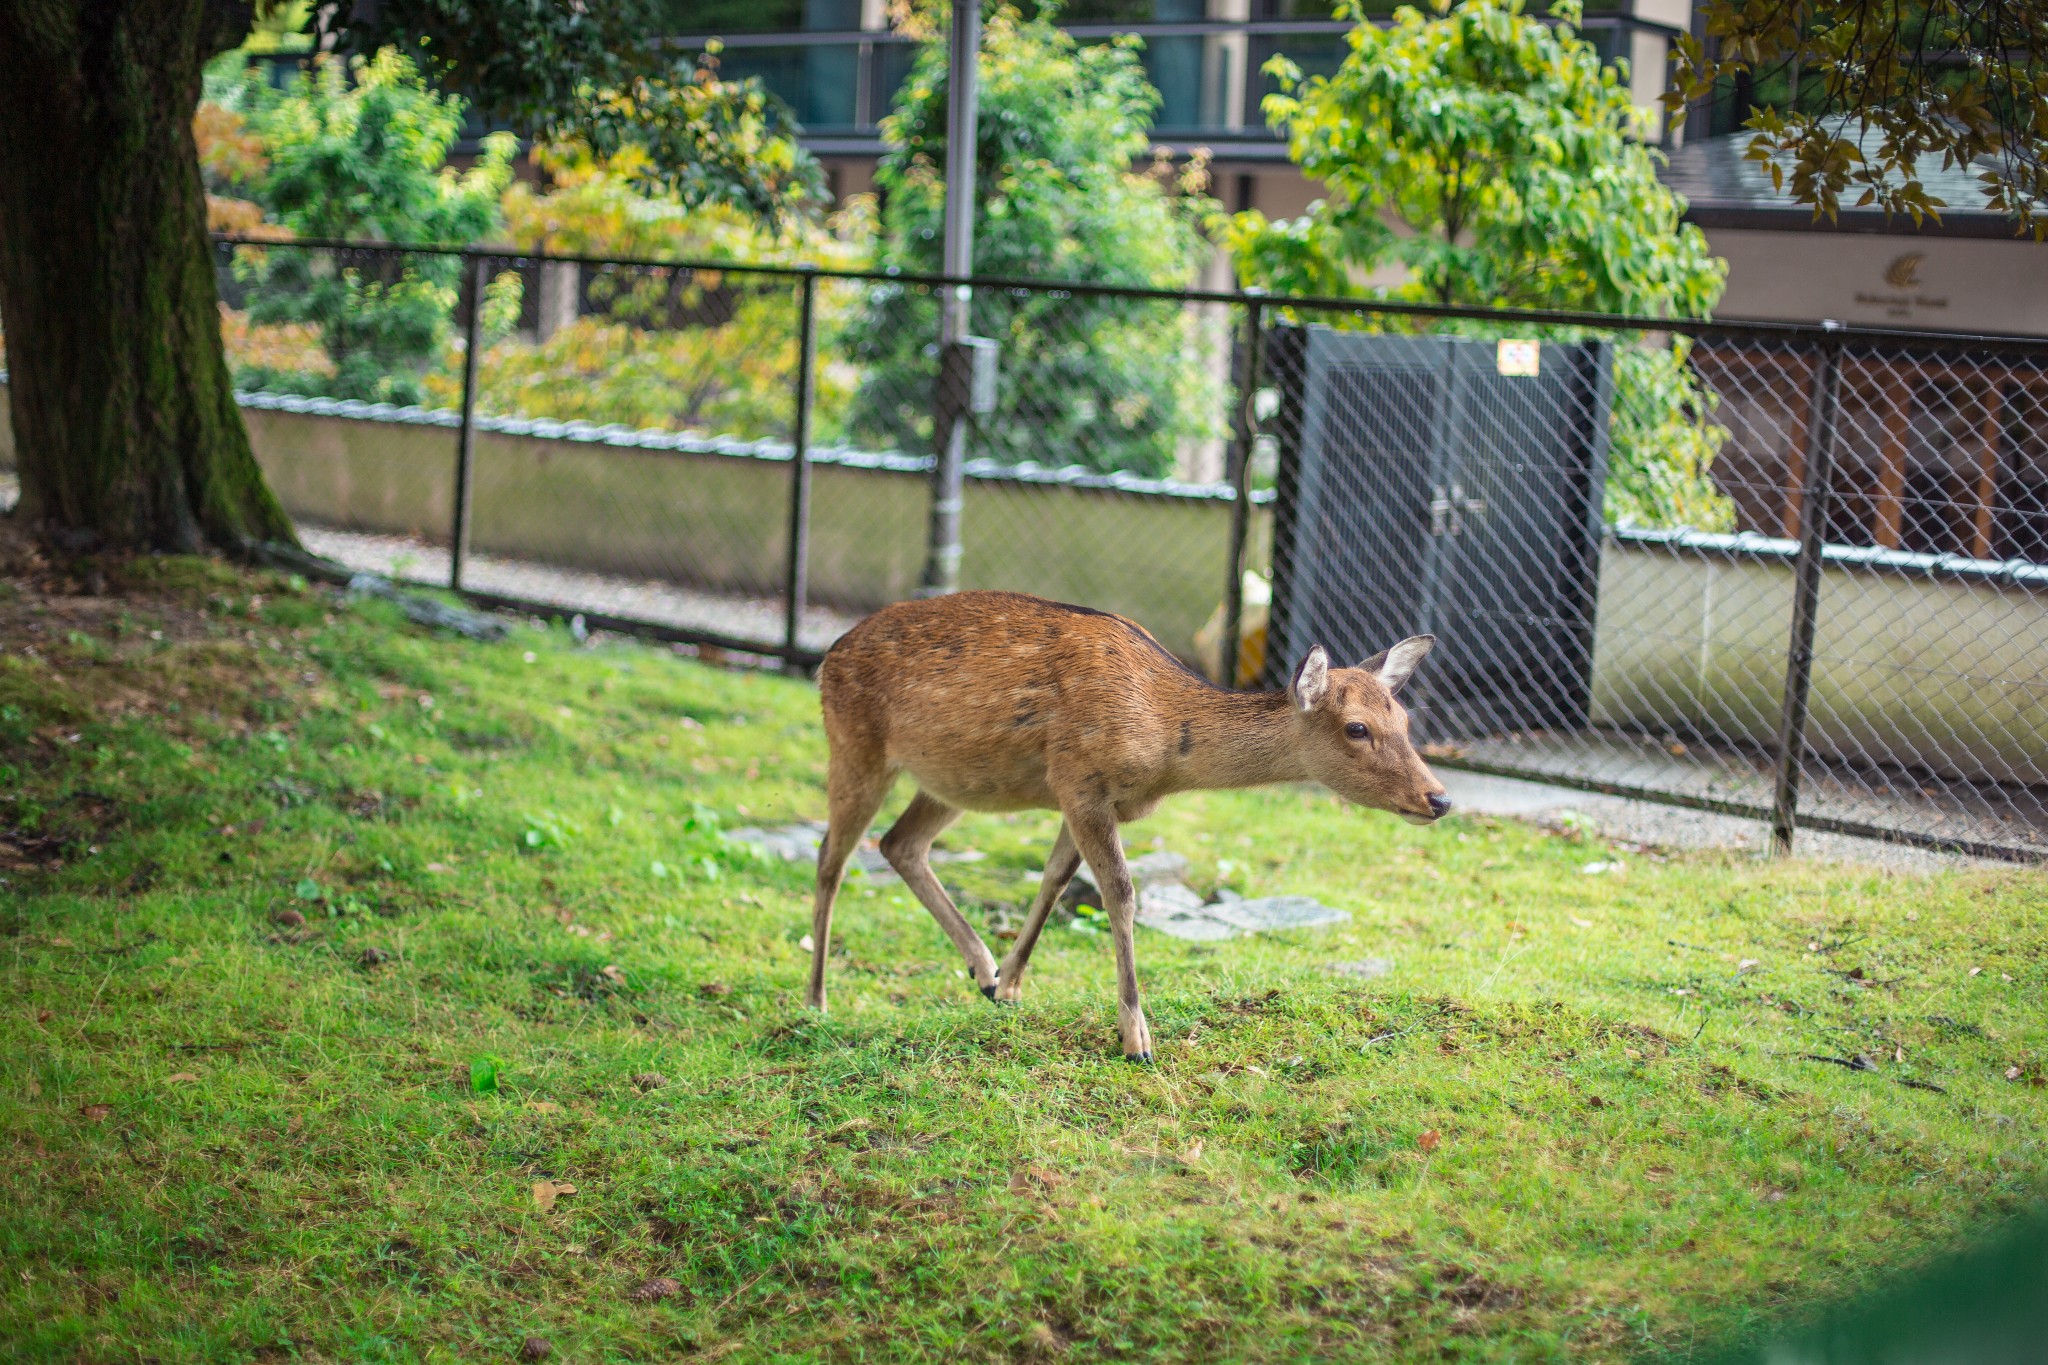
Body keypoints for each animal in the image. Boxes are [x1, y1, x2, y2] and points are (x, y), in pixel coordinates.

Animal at [806, 593, 1449, 1064]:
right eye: (1357, 728)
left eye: (1404, 718)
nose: (1439, 798)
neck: (1164, 745)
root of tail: (823, 658)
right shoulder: (1080, 779)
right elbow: (1120, 892)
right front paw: (1137, 1037)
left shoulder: (1085, 797)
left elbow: (1054, 879)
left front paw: (1008, 985)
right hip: (855, 744)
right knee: (832, 856)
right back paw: (816, 999)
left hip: (953, 779)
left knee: (900, 843)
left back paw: (979, 966)